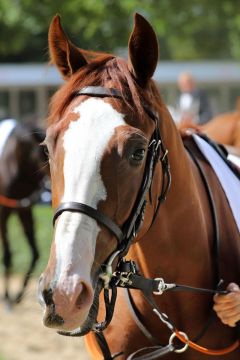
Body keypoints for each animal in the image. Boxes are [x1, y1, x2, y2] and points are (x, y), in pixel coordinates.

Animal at [0, 120, 47, 304]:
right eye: (46, 152)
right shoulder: (3, 211)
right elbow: (7, 255)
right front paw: (7, 297)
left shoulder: (24, 209)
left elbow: (35, 253)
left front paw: (18, 295)